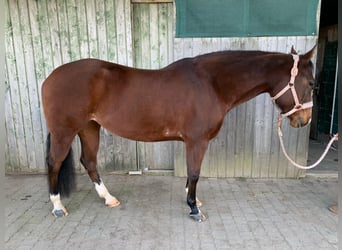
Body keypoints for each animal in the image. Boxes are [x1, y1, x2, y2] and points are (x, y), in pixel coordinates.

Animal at [41, 46, 314, 222]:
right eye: (311, 83)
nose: (304, 120)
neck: (211, 84)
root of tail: (50, 77)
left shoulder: (192, 142)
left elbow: (191, 174)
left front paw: (193, 200)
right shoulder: (197, 141)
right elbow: (194, 173)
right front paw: (194, 209)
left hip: (89, 127)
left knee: (89, 161)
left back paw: (108, 198)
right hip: (65, 131)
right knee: (54, 162)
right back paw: (57, 206)